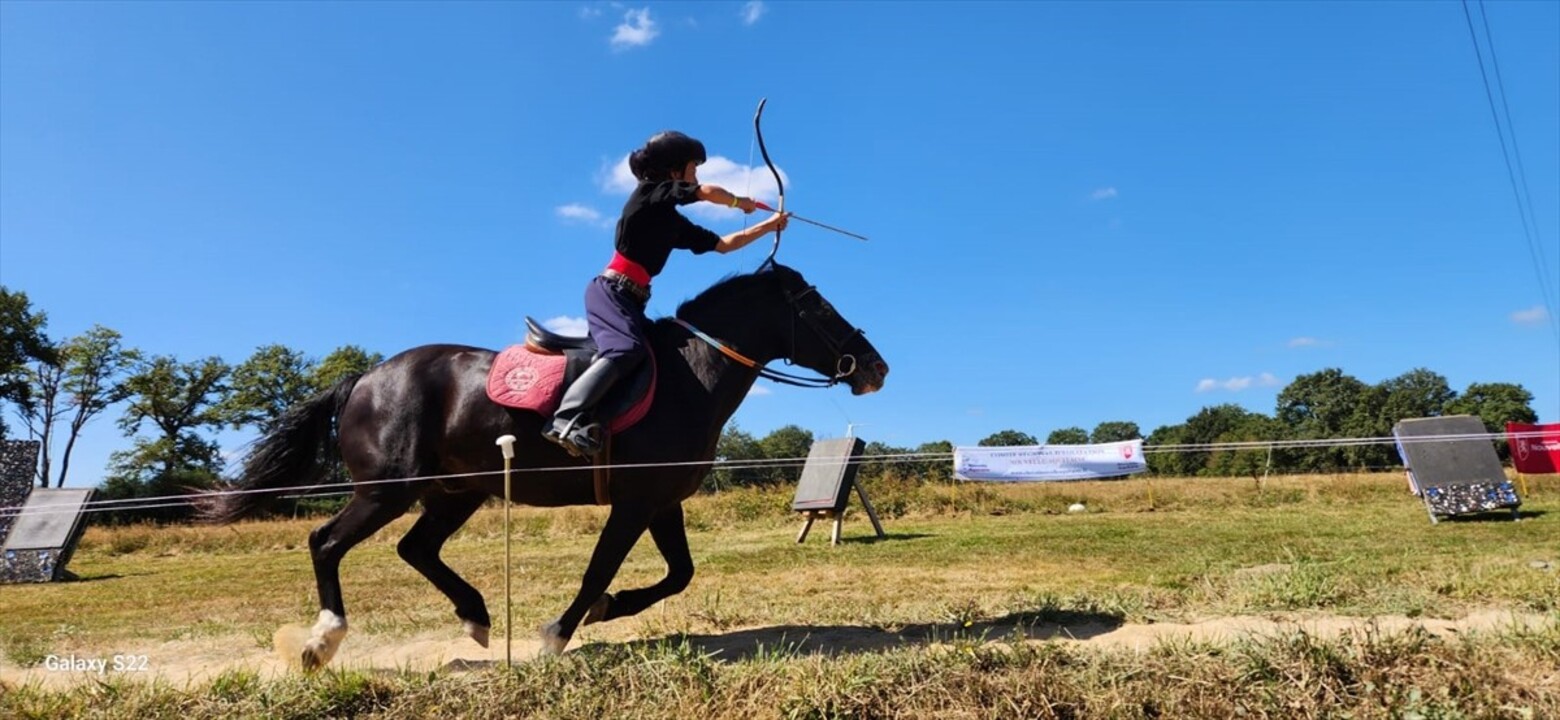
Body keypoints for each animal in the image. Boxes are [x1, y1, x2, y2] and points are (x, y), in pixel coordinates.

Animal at [204, 261, 892, 673]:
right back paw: (320, 641)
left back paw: (477, 618)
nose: (875, 366)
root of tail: (366, 378)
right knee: (326, 543)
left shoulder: (663, 501)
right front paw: (561, 631)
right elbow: (600, 569)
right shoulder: (635, 503)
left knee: (416, 549)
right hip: (387, 490)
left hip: (455, 492)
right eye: (816, 306)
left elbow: (679, 574)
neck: (690, 375)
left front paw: (610, 609)